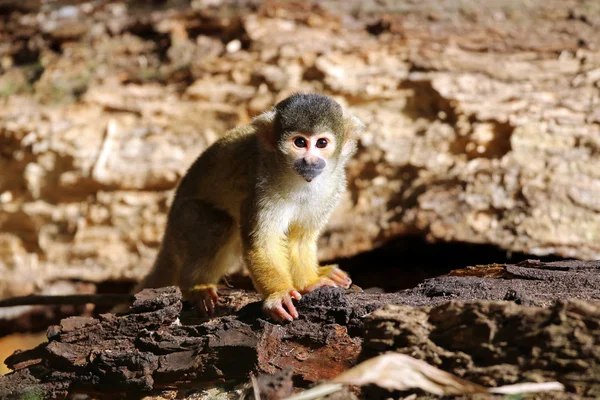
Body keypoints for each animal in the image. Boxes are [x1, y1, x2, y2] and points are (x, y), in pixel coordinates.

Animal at [134, 94, 364, 322]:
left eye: (321, 143)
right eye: (300, 142)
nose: (310, 160)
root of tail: (169, 228)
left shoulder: (333, 188)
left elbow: (299, 240)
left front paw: (310, 284)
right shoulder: (262, 185)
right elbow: (262, 242)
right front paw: (278, 295)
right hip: (184, 220)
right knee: (219, 224)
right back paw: (195, 287)